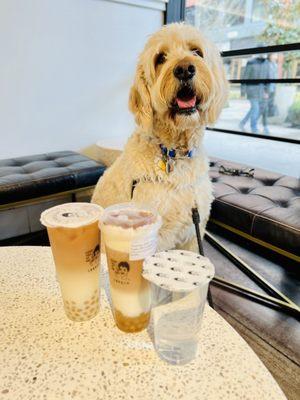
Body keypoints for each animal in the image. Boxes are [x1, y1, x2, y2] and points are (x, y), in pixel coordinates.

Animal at [91, 23, 227, 250]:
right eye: (160, 58)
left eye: (196, 51)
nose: (184, 69)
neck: (175, 152)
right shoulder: (156, 235)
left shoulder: (193, 231)